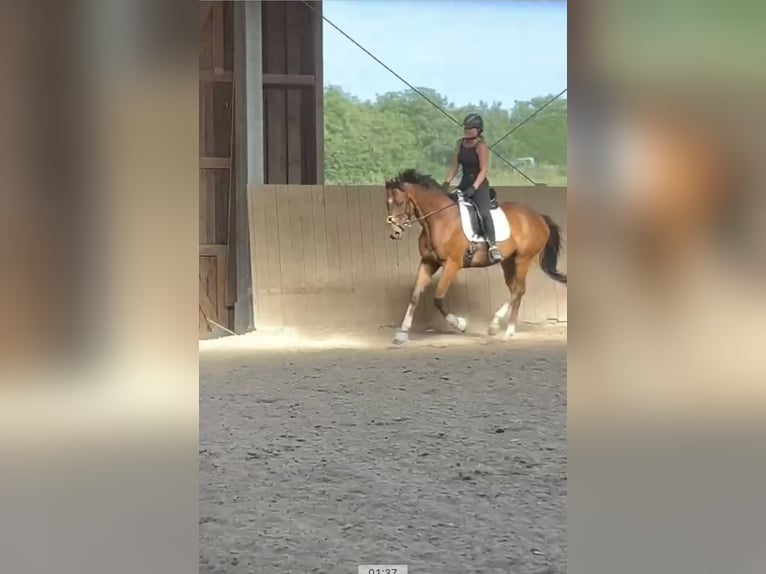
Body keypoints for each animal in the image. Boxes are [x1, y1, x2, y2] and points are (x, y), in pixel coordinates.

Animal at [384, 168, 567, 344]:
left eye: (400, 203)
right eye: (387, 204)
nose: (395, 233)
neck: (440, 220)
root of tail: (538, 216)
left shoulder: (452, 265)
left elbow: (438, 298)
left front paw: (461, 324)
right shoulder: (428, 262)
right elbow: (414, 296)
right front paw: (402, 333)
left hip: (523, 258)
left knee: (518, 290)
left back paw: (500, 328)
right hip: (508, 261)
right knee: (517, 290)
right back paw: (505, 329)